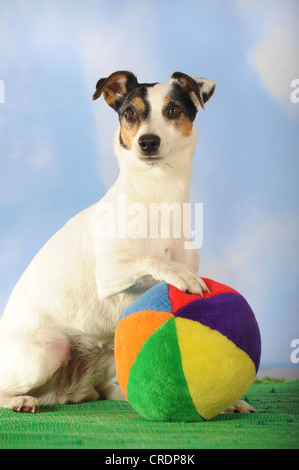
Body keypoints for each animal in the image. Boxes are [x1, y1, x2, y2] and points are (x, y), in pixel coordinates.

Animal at [0, 71, 255, 414]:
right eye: (130, 113)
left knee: (101, 390)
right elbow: (152, 260)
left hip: (105, 356)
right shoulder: (108, 274)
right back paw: (21, 400)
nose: (147, 142)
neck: (158, 196)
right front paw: (179, 274)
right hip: (50, 350)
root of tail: (59, 393)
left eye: (173, 110)